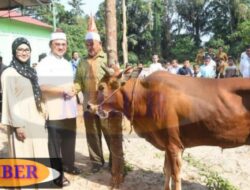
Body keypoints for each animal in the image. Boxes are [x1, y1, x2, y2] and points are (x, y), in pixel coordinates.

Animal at [89, 69, 250, 190]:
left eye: (101, 87)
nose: (89, 106)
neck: (146, 97)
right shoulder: (168, 144)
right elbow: (166, 171)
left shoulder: (174, 145)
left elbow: (175, 175)